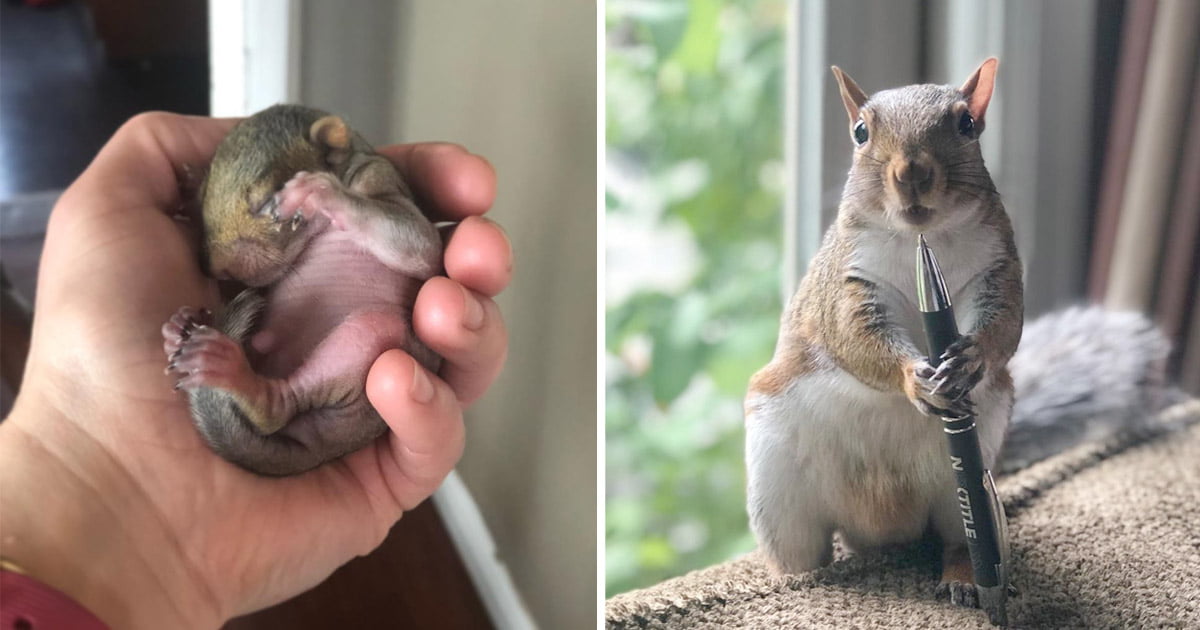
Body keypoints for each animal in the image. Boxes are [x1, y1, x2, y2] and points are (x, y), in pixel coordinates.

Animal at [162, 104, 443, 476]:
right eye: (203, 199)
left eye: (267, 203)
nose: (213, 268)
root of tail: (326, 447)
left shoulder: (380, 176)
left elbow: (422, 248)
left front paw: (319, 192)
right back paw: (178, 331)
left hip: (367, 338)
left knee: (278, 408)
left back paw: (224, 364)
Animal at [744, 59, 1173, 608]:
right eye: (860, 132)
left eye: (967, 125)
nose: (911, 173)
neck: (921, 238)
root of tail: (884, 531)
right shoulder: (848, 281)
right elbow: (854, 334)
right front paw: (913, 378)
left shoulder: (996, 269)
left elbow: (1005, 324)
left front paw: (972, 359)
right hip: (780, 490)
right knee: (800, 554)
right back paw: (795, 581)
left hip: (965, 483)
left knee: (957, 537)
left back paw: (966, 580)